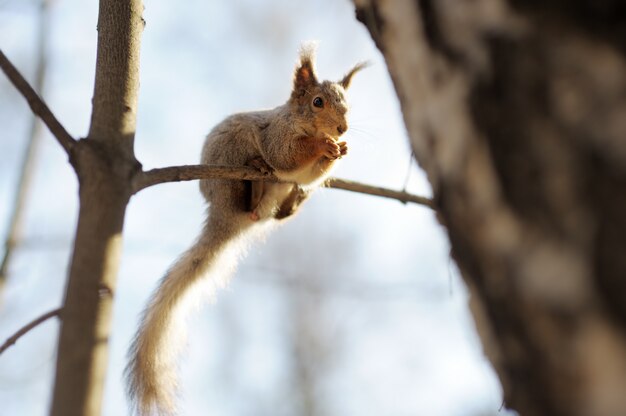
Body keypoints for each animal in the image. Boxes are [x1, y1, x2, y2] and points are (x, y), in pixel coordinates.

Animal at [125, 43, 366, 416]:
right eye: (317, 102)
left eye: (347, 104)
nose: (342, 128)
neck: (298, 120)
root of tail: (225, 218)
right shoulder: (276, 136)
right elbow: (287, 157)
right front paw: (324, 146)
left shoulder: (305, 171)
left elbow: (310, 174)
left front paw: (340, 150)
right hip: (228, 171)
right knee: (251, 191)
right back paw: (254, 175)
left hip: (275, 198)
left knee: (280, 209)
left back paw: (290, 201)